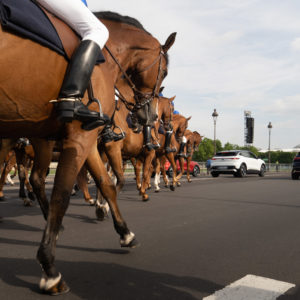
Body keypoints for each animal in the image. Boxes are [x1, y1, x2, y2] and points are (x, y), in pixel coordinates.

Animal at [0, 10, 175, 294]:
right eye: (165, 71)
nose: (150, 118)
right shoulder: (87, 139)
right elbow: (66, 191)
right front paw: (49, 269)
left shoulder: (92, 142)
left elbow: (106, 183)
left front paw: (123, 231)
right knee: (28, 176)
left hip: (38, 138)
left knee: (35, 177)